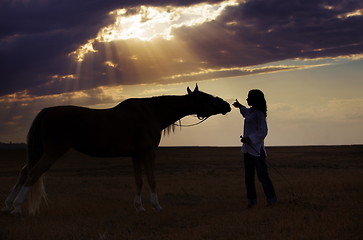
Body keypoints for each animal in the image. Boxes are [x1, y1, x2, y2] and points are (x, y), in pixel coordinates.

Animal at [1, 85, 232, 216]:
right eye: (205, 97)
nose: (227, 105)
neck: (152, 113)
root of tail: (47, 111)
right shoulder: (148, 153)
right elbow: (151, 180)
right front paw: (156, 206)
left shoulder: (136, 155)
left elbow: (139, 181)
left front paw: (139, 207)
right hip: (52, 152)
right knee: (32, 174)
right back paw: (17, 207)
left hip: (41, 151)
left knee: (24, 172)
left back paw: (8, 205)